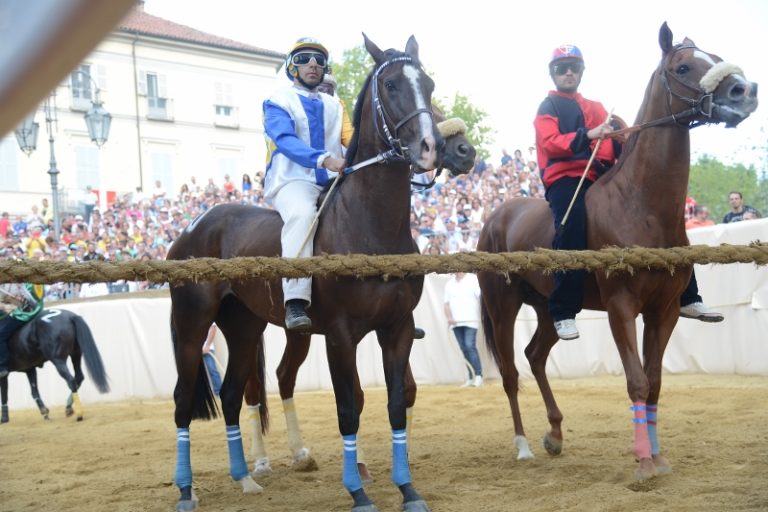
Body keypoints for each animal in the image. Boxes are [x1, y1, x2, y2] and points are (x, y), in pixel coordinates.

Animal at [168, 34, 444, 510]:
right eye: (391, 84)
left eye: (426, 83)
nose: (430, 147)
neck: (370, 227)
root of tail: (193, 225)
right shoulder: (339, 335)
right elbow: (349, 409)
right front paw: (358, 491)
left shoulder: (398, 328)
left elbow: (394, 405)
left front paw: (408, 489)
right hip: (191, 327)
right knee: (185, 400)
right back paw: (186, 489)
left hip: (243, 327)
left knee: (232, 395)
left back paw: (245, 477)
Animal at [476, 22, 760, 482]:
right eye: (683, 66)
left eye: (716, 57)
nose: (743, 91)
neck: (641, 204)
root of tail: (495, 218)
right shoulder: (621, 306)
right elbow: (637, 380)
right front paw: (644, 461)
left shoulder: (662, 310)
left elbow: (655, 380)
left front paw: (658, 456)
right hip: (502, 306)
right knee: (510, 373)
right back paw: (522, 445)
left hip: (550, 308)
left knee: (535, 356)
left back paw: (555, 434)